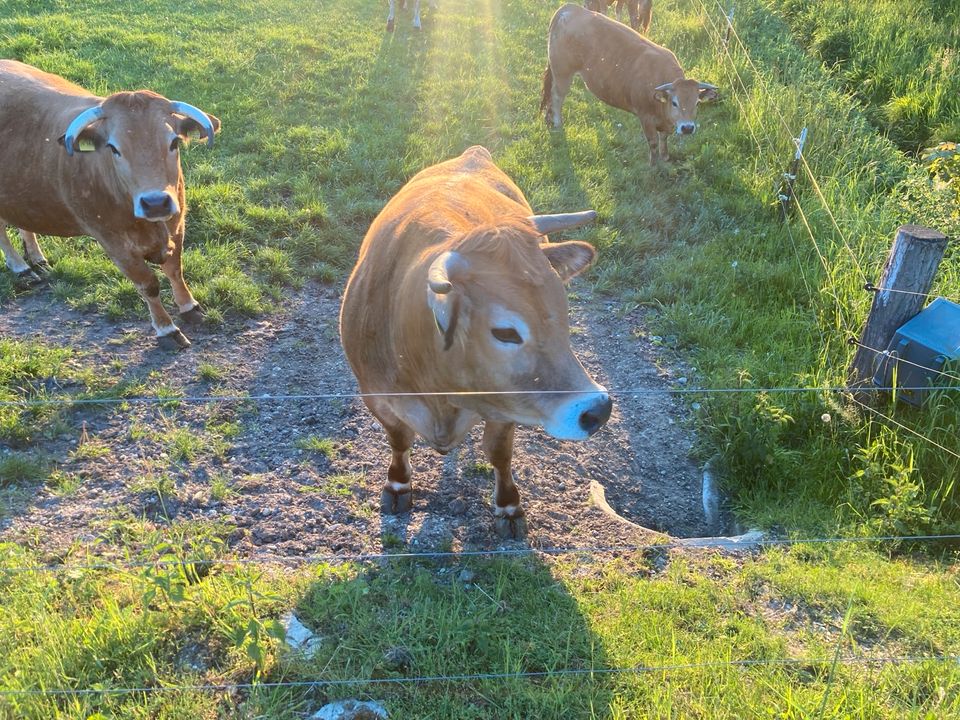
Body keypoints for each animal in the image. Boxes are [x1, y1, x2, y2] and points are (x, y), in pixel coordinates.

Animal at [0, 60, 219, 348]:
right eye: (114, 149)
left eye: (174, 142)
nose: (155, 202)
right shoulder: (114, 243)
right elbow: (148, 284)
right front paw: (166, 329)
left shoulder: (177, 222)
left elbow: (175, 269)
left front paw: (189, 307)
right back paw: (21, 267)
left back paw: (36, 257)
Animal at [344, 148, 616, 540]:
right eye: (505, 332)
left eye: (563, 310)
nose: (598, 409)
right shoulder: (376, 396)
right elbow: (399, 439)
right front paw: (397, 485)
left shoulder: (505, 403)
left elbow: (499, 453)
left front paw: (509, 507)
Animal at [544, 4, 716, 165]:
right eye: (674, 103)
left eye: (697, 103)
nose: (687, 128)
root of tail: (570, 9)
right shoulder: (645, 118)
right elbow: (653, 143)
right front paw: (654, 165)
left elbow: (663, 139)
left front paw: (665, 157)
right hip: (562, 72)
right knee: (557, 97)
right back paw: (558, 124)